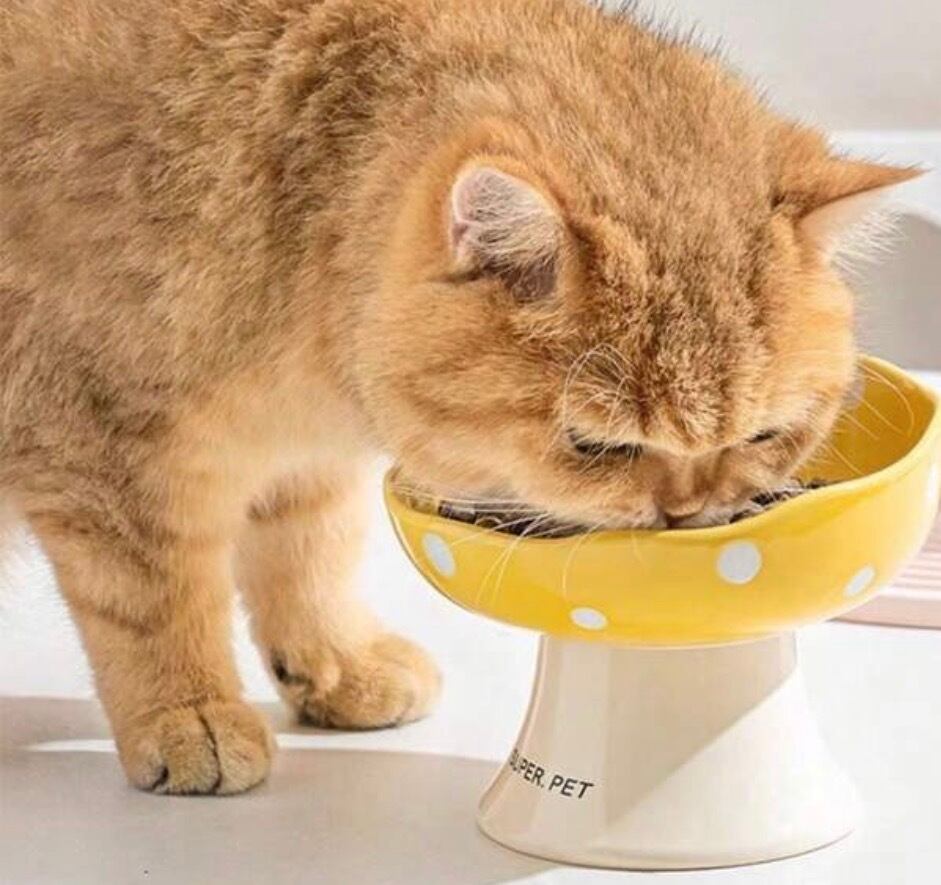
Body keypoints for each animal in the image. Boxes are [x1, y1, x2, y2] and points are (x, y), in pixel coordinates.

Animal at [0, 0, 918, 795]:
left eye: (763, 435)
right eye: (599, 446)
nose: (689, 513)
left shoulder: (304, 455)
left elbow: (309, 553)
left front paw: (338, 662)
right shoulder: (98, 442)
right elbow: (155, 600)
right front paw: (191, 710)